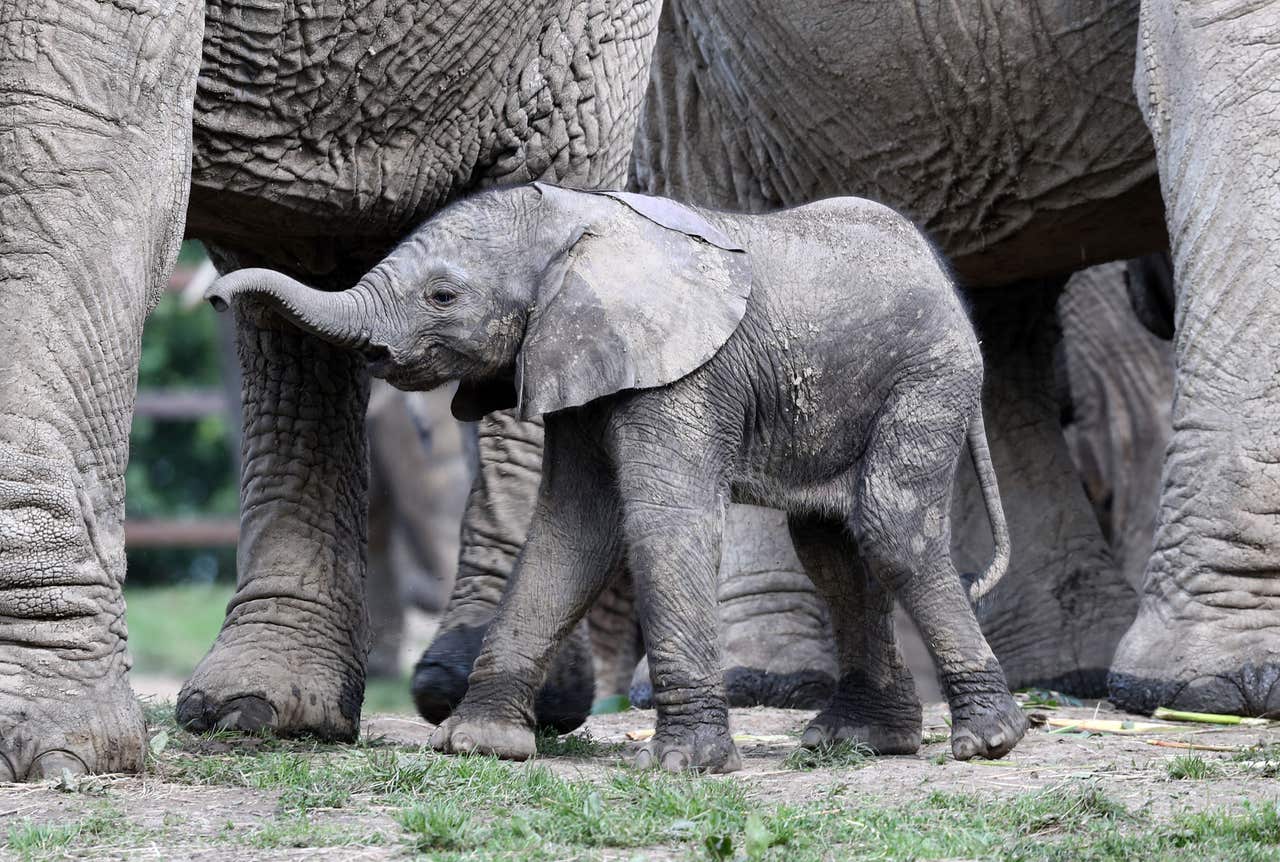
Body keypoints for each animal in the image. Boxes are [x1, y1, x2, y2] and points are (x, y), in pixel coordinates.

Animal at [207, 179, 1029, 768]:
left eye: (443, 295)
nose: (215, 294)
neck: (583, 221)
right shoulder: (577, 363)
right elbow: (571, 532)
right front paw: (477, 746)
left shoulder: (683, 373)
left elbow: (664, 520)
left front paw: (685, 766)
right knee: (833, 547)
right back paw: (859, 742)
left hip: (929, 377)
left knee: (888, 526)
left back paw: (985, 743)